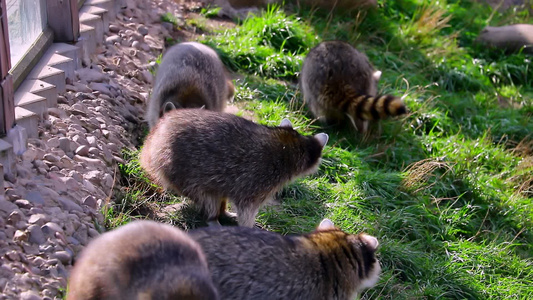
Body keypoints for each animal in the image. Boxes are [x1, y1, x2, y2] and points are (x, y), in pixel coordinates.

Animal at [139, 109, 326, 226]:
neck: (290, 145)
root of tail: (154, 141)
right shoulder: (258, 179)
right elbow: (246, 209)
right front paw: (248, 227)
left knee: (219, 191)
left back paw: (222, 212)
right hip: (182, 169)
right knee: (208, 196)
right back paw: (213, 217)